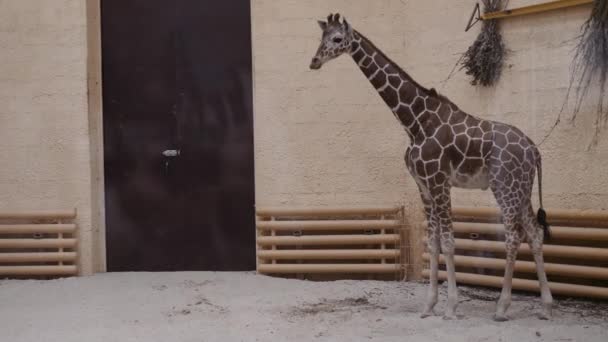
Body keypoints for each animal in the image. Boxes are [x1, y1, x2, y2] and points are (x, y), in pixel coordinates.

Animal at [312, 12, 552, 320]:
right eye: (321, 37)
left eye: (337, 38)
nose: (314, 61)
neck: (415, 123)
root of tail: (534, 149)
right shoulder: (423, 185)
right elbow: (433, 242)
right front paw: (428, 305)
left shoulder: (439, 181)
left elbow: (449, 242)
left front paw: (451, 306)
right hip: (522, 188)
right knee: (534, 233)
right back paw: (546, 306)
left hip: (505, 186)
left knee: (513, 236)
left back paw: (502, 307)